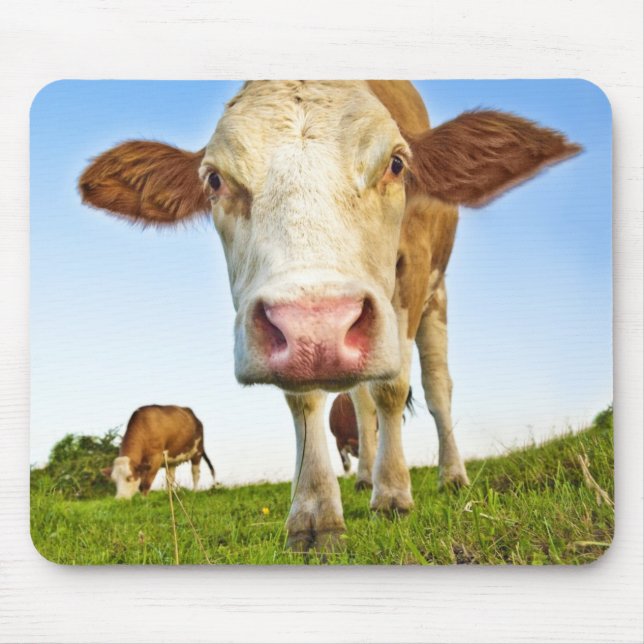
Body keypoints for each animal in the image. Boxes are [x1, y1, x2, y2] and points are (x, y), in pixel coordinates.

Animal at [80, 81, 580, 548]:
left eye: (396, 164)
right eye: (215, 180)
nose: (315, 325)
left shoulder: (413, 273)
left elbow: (393, 388)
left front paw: (393, 495)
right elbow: (309, 402)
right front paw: (316, 512)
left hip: (436, 294)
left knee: (437, 389)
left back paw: (450, 475)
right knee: (360, 401)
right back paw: (364, 476)